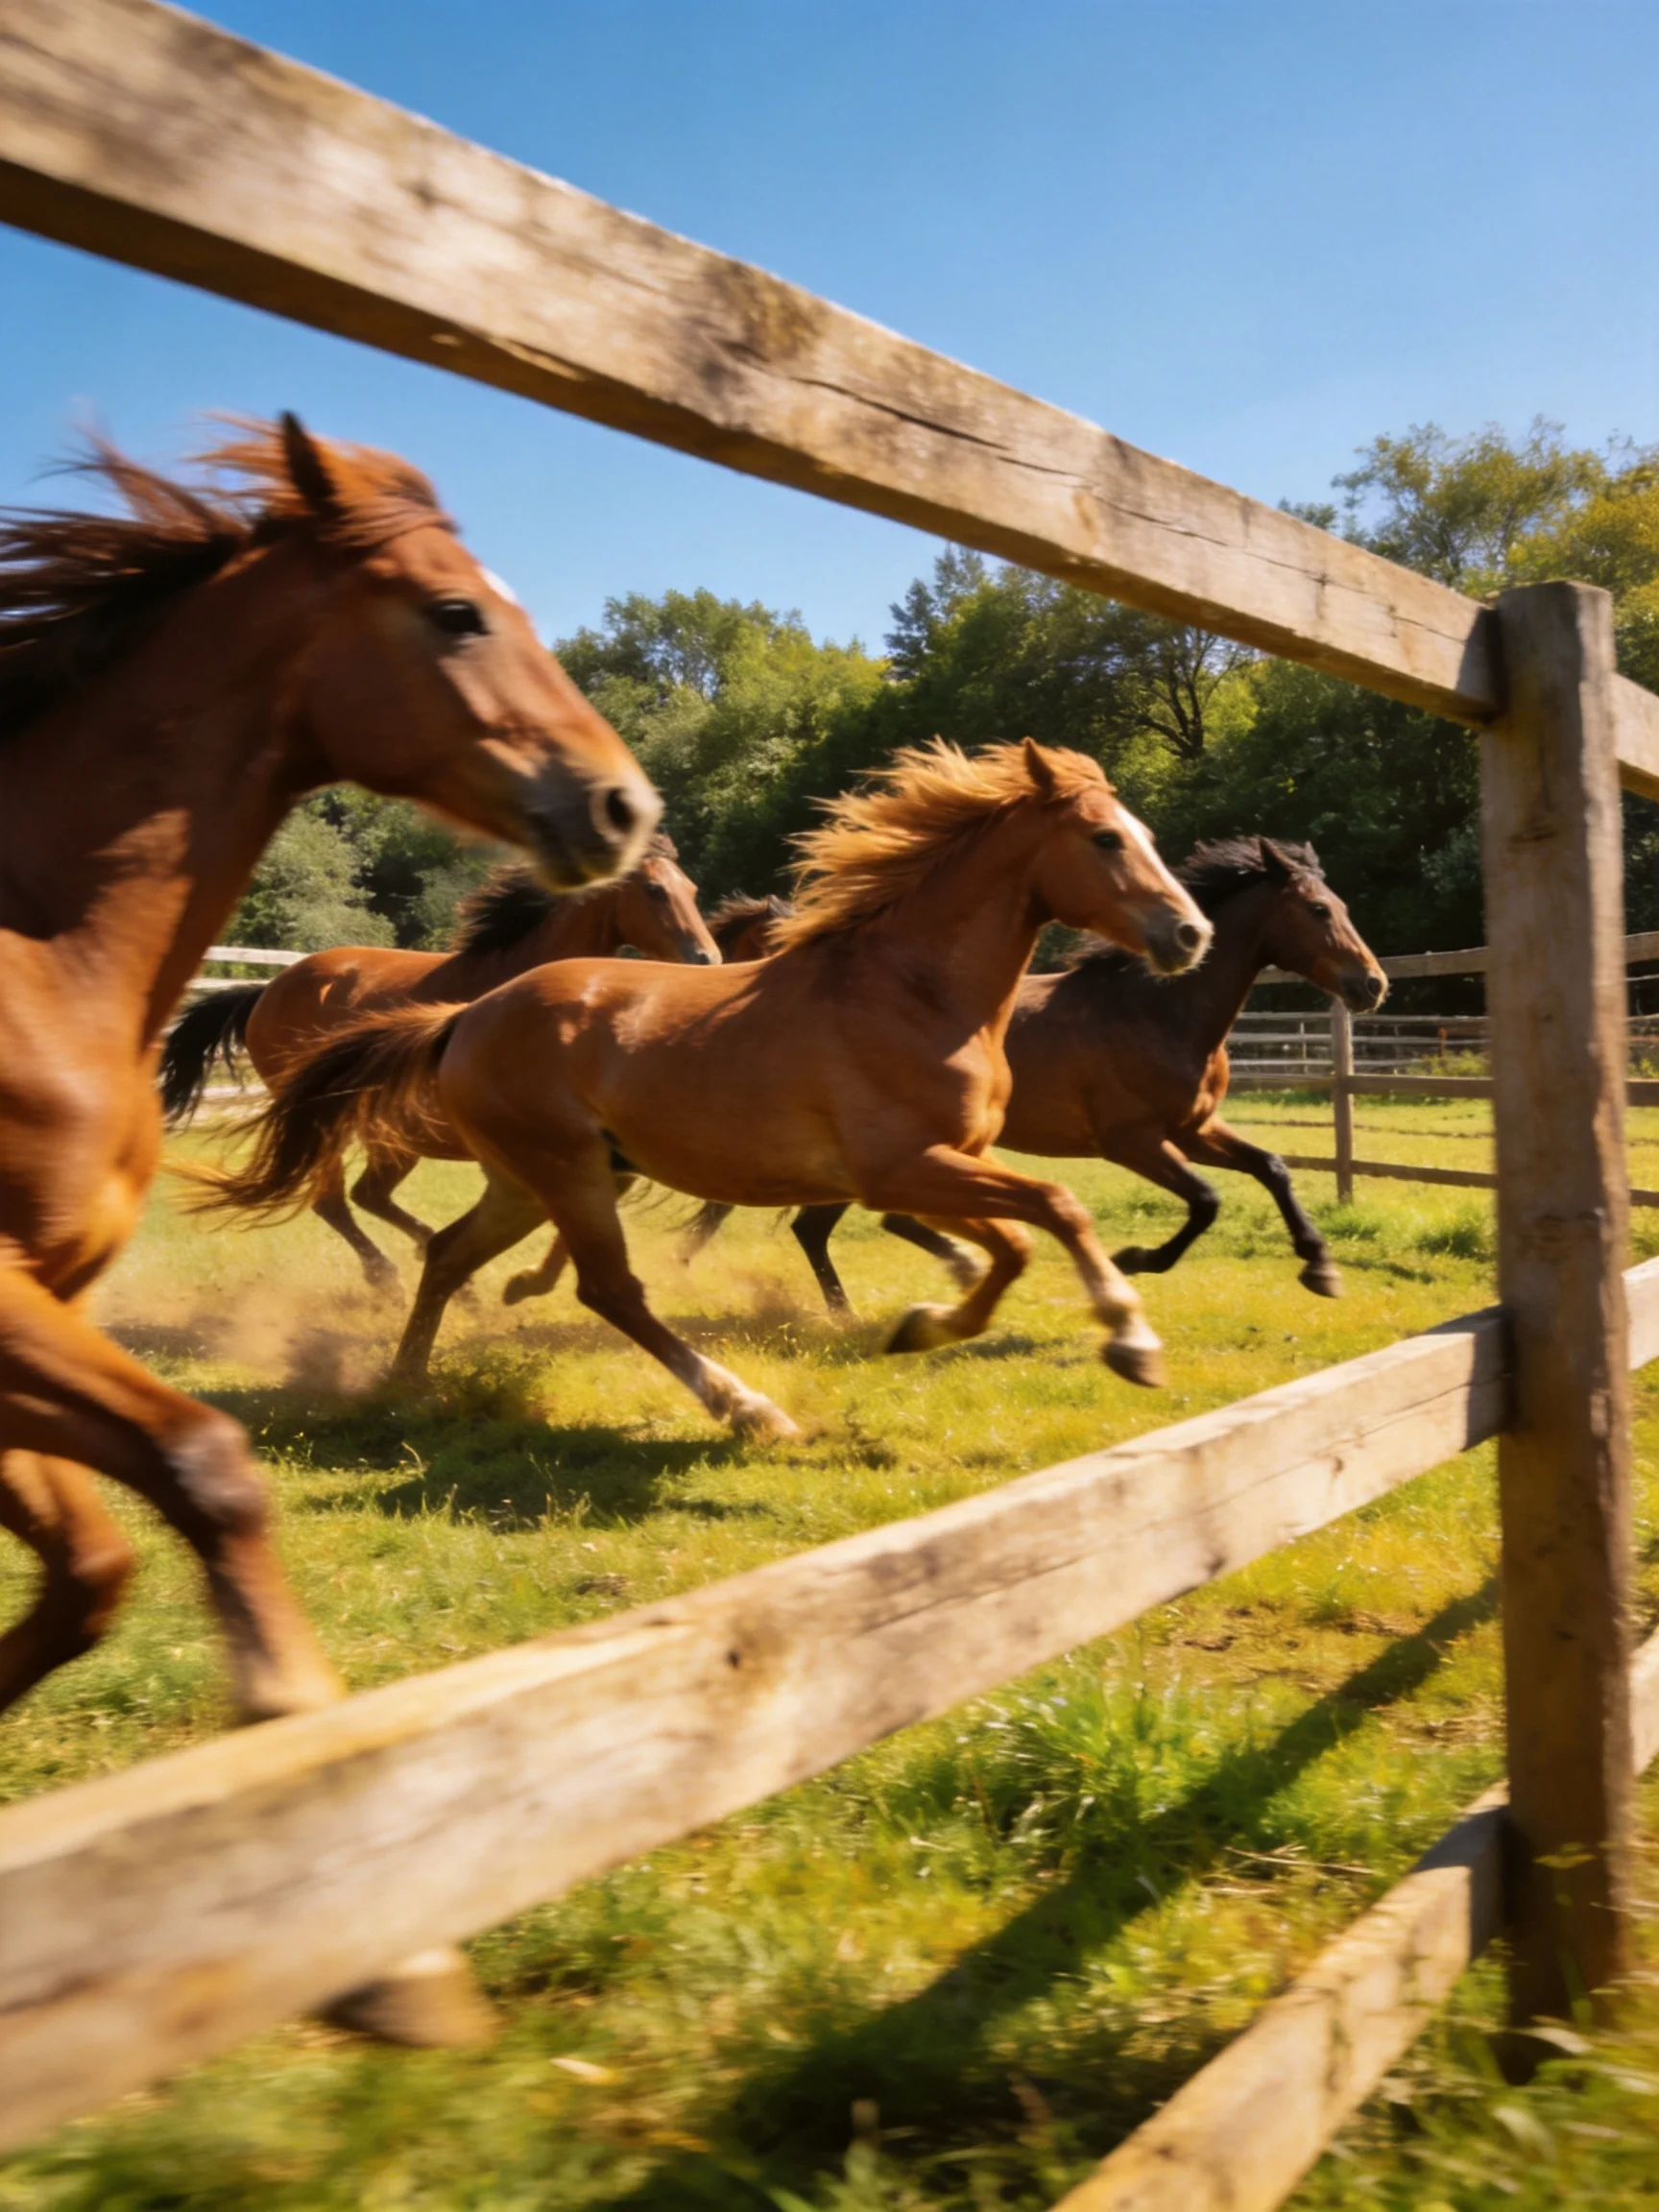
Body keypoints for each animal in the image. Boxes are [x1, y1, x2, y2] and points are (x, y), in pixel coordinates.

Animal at [161, 838, 719, 1288]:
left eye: (692, 888)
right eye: (654, 889)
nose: (707, 960)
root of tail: (267, 992)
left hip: (389, 1134)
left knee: (366, 1196)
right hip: (333, 1122)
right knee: (335, 1200)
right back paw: (389, 1277)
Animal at [779, 836, 1387, 1309]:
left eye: (1339, 904)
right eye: (1318, 909)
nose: (1372, 984)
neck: (1158, 1011)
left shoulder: (1192, 1129)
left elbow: (1272, 1168)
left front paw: (1320, 1268)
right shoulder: (1132, 1141)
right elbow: (1206, 1200)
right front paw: (1135, 1258)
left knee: (859, 1223)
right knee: (815, 1227)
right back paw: (850, 1315)